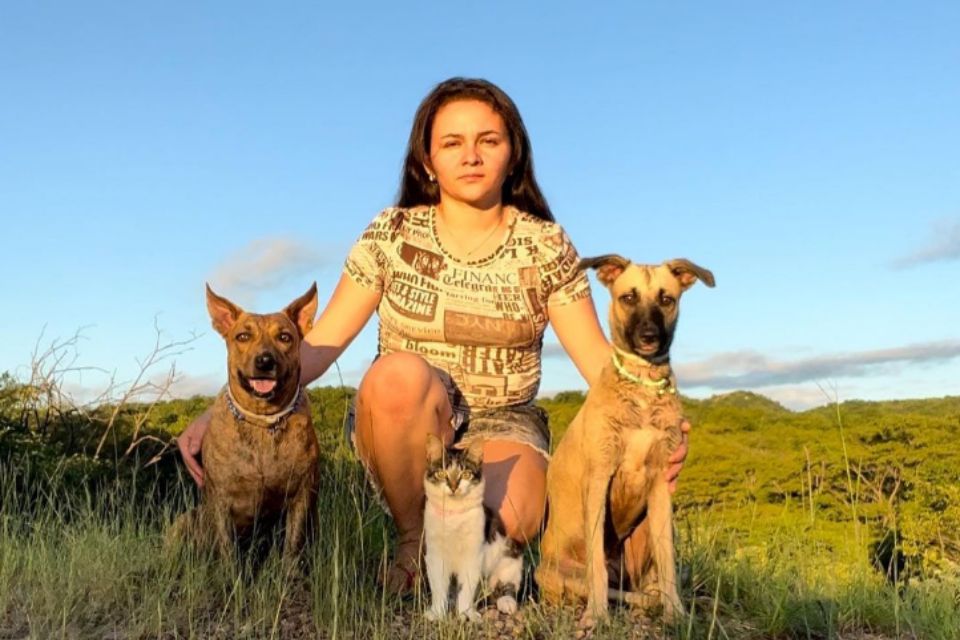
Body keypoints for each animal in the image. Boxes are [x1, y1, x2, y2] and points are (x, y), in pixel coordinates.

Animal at [171, 282, 320, 564]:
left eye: (285, 337)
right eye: (242, 336)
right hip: (185, 520)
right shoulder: (221, 500)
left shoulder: (300, 494)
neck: (262, 421)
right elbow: (228, 552)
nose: (265, 361)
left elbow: (292, 546)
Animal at [424, 432, 520, 624]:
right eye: (442, 473)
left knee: (507, 584)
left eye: (466, 474)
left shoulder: (473, 556)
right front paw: (437, 613)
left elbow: (467, 589)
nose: (454, 486)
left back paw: (506, 601)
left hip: (510, 553)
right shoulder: (435, 556)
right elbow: (438, 587)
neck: (453, 517)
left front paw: (466, 613)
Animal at [540, 255, 712, 624]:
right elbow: (597, 569)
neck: (643, 386)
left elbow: (668, 563)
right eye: (628, 297)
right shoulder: (599, 477)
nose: (649, 337)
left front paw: (677, 614)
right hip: (560, 574)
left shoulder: (660, 486)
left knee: (642, 588)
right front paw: (597, 616)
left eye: (667, 299)